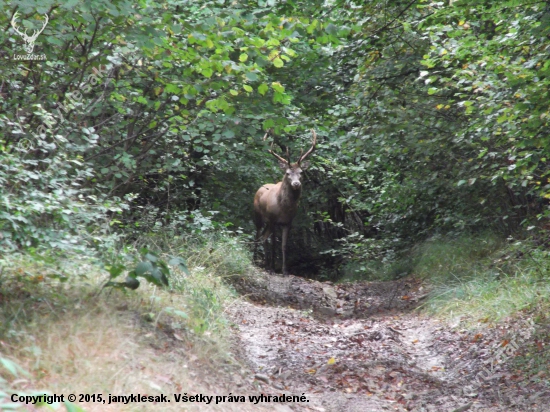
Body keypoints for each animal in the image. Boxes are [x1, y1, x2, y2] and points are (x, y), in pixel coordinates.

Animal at [253, 129, 316, 276]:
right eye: (287, 173)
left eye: (301, 172)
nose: (296, 184)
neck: (284, 208)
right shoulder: (272, 219)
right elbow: (270, 242)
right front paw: (270, 268)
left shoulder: (288, 222)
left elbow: (283, 245)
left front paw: (284, 270)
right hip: (258, 216)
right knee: (259, 236)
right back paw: (256, 261)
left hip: (269, 223)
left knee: (266, 238)